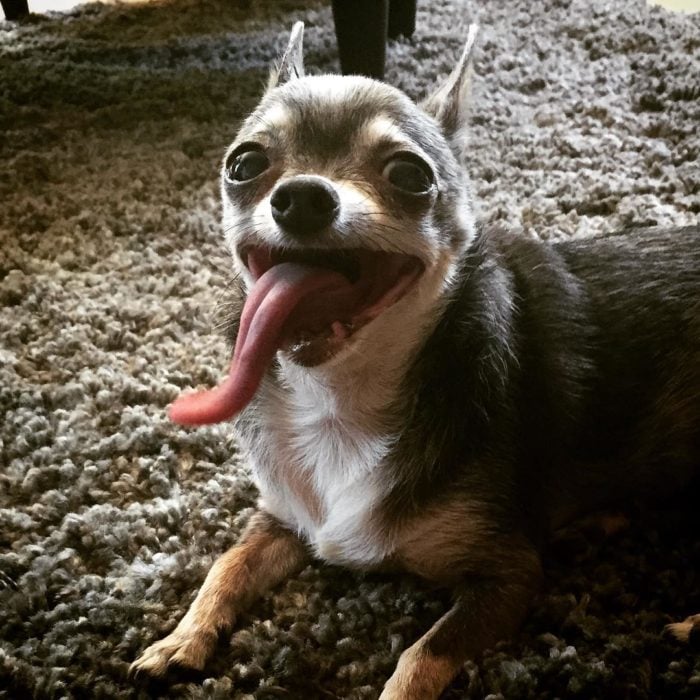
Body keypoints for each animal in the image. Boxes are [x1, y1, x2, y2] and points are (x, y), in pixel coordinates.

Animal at [133, 23, 700, 700]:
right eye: (244, 165)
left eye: (409, 174)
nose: (300, 197)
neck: (339, 399)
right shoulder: (283, 520)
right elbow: (227, 563)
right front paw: (180, 637)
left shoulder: (508, 574)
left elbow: (419, 655)